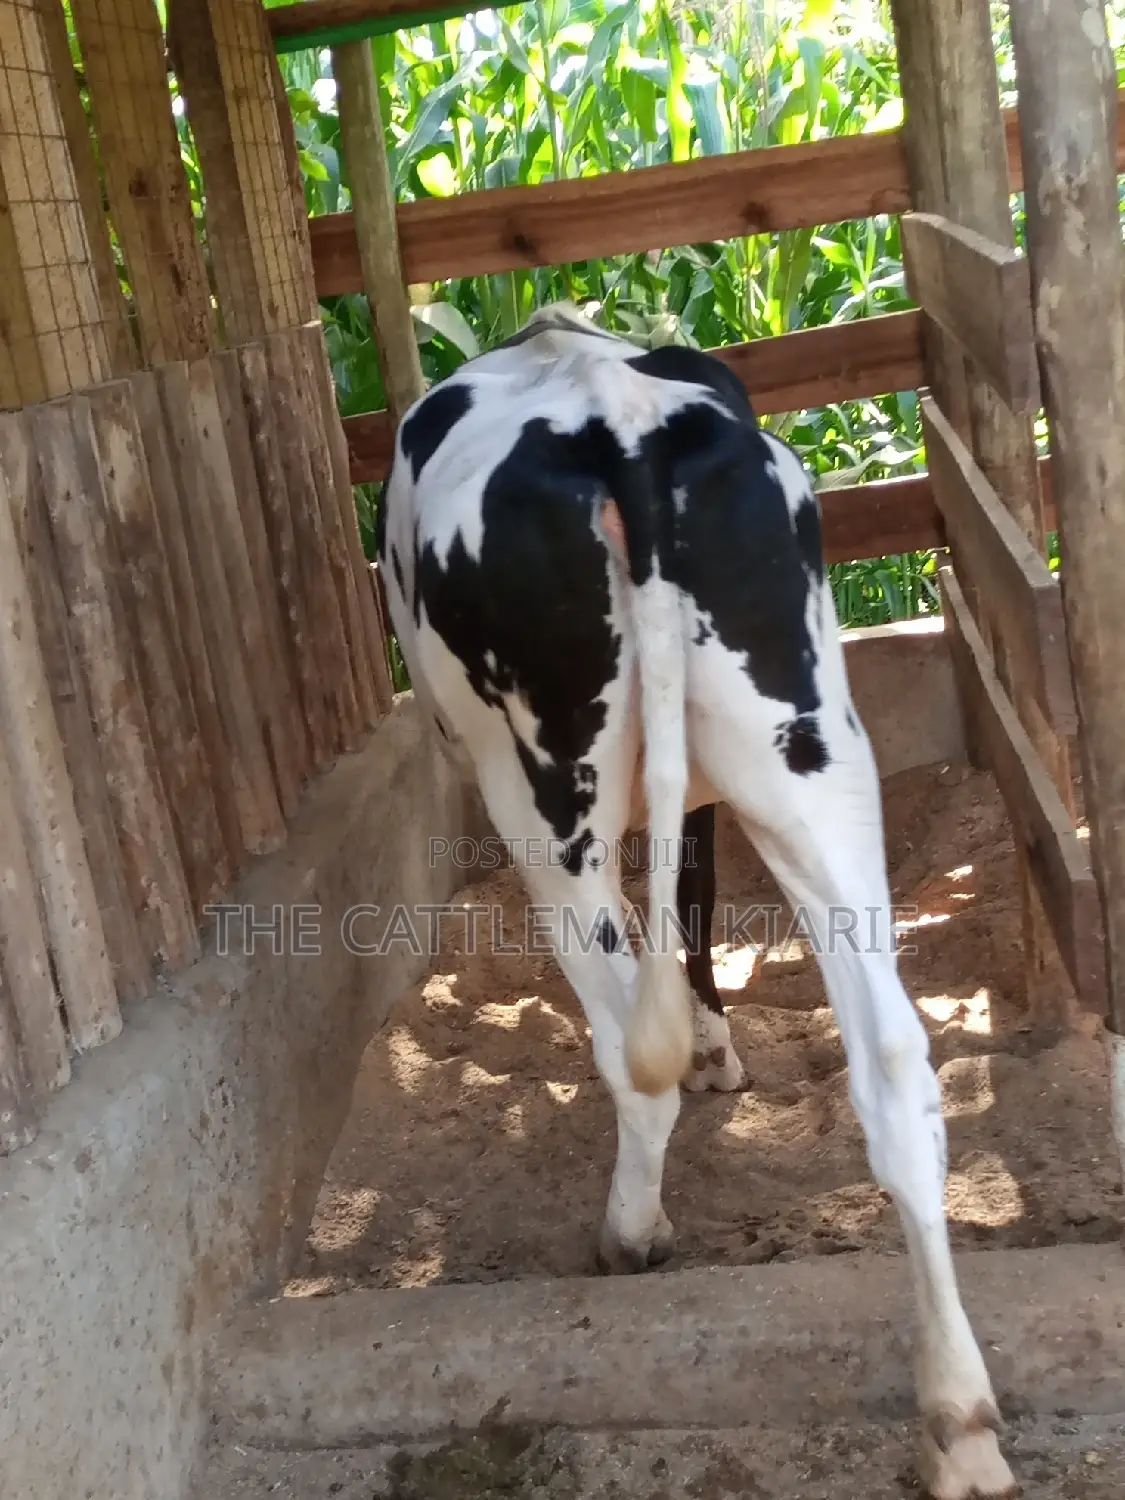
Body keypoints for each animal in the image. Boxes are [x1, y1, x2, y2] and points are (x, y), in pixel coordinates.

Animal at [377, 301, 1013, 1500]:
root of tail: (613, 417)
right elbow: (701, 892)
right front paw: (722, 1045)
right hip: (812, 752)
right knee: (896, 1065)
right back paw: (960, 1419)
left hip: (541, 792)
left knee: (627, 1038)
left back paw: (630, 1228)